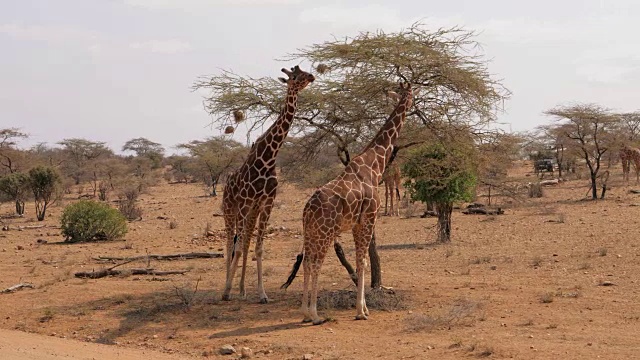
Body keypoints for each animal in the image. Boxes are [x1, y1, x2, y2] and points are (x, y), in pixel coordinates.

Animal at [221, 66, 316, 302]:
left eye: (304, 71)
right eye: (294, 76)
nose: (311, 76)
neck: (269, 157)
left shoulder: (266, 202)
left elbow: (257, 248)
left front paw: (262, 294)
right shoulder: (246, 202)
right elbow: (237, 247)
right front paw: (227, 290)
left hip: (251, 211)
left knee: (244, 241)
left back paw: (242, 290)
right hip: (230, 208)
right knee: (229, 243)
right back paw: (226, 288)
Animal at [282, 83, 416, 324]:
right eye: (409, 95)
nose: (413, 103)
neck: (376, 163)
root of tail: (307, 209)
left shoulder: (356, 223)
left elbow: (361, 260)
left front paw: (364, 308)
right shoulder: (369, 218)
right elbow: (362, 261)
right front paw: (361, 311)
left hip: (310, 232)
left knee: (306, 262)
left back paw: (304, 313)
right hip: (325, 232)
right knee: (315, 263)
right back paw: (314, 314)